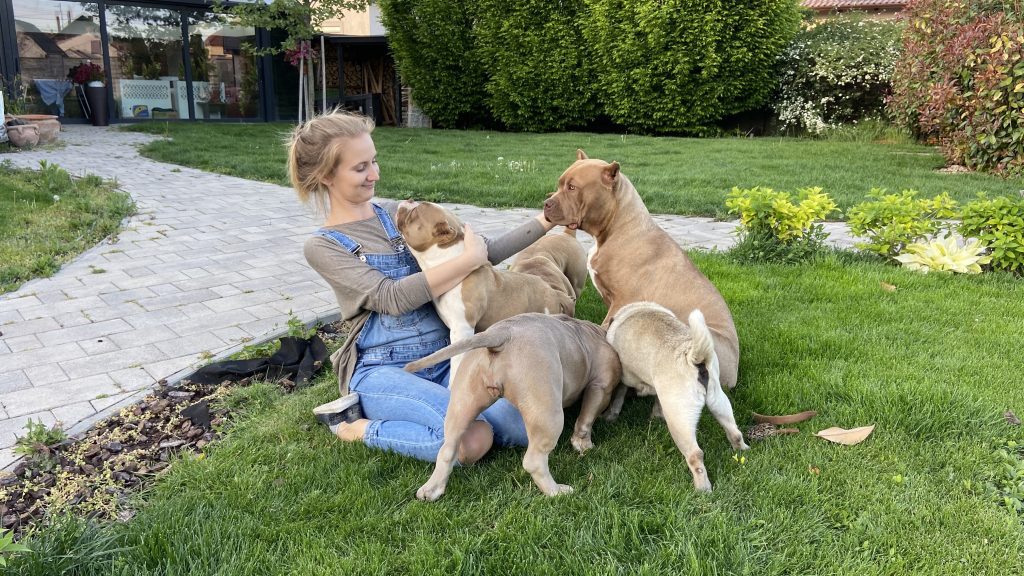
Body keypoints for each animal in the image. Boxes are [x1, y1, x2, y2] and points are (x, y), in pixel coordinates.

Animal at [395, 201, 577, 377]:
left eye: (415, 212)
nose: (408, 200)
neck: (451, 262)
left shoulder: (462, 329)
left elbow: (457, 361)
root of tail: (555, 293)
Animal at [403, 311, 618, 496]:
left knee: (447, 449)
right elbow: (586, 419)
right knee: (534, 461)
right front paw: (584, 445)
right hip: (547, 409)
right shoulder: (600, 387)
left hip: (462, 402)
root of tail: (500, 335)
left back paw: (431, 490)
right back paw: (556, 491)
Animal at [602, 301, 749, 487]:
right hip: (719, 401)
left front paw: (611, 416)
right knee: (735, 433)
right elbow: (657, 402)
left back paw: (702, 487)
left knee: (695, 455)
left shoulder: (623, 380)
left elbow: (618, 398)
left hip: (679, 420)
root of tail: (693, 356)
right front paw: (655, 417)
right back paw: (743, 450)